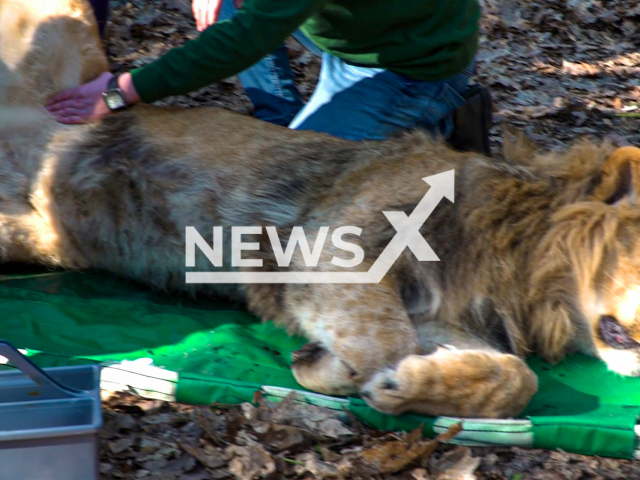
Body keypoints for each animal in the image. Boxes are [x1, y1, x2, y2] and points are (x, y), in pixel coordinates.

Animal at [1, 0, 640, 418]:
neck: (523, 266)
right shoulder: (333, 252)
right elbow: (387, 341)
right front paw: (344, 371)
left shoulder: (442, 318)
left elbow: (517, 380)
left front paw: (397, 384)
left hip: (41, 236)